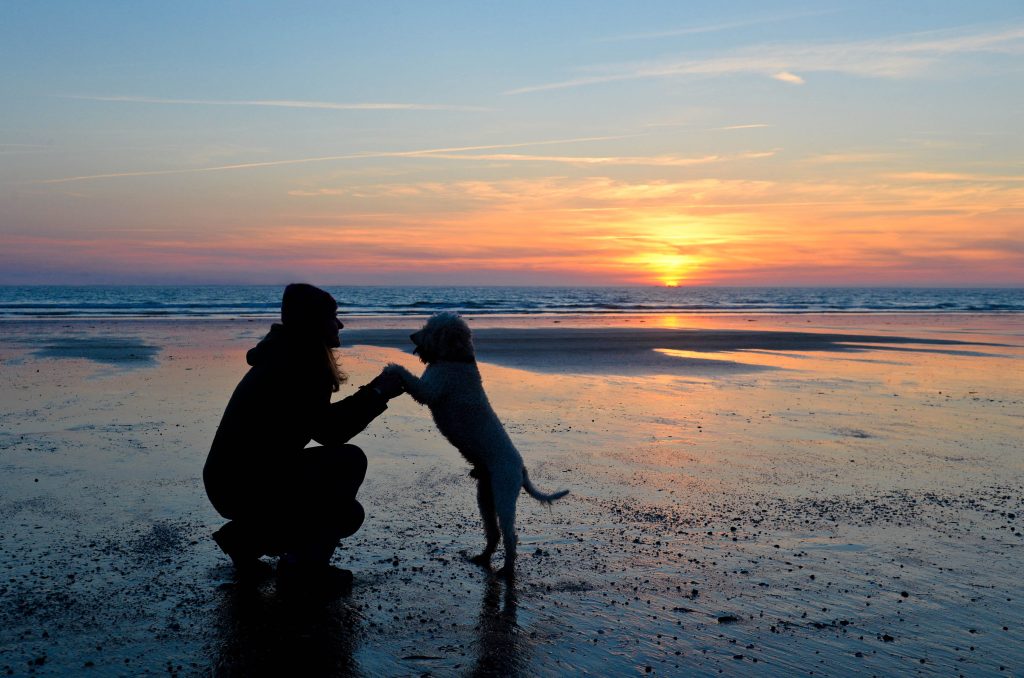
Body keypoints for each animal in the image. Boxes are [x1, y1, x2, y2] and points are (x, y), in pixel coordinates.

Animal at [387, 313, 573, 577]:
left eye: (430, 328)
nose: (412, 336)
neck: (457, 359)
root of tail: (522, 469)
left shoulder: (430, 389)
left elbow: (410, 379)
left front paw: (392, 367)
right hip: (485, 496)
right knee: (493, 532)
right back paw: (483, 557)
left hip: (504, 495)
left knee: (510, 536)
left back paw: (507, 569)